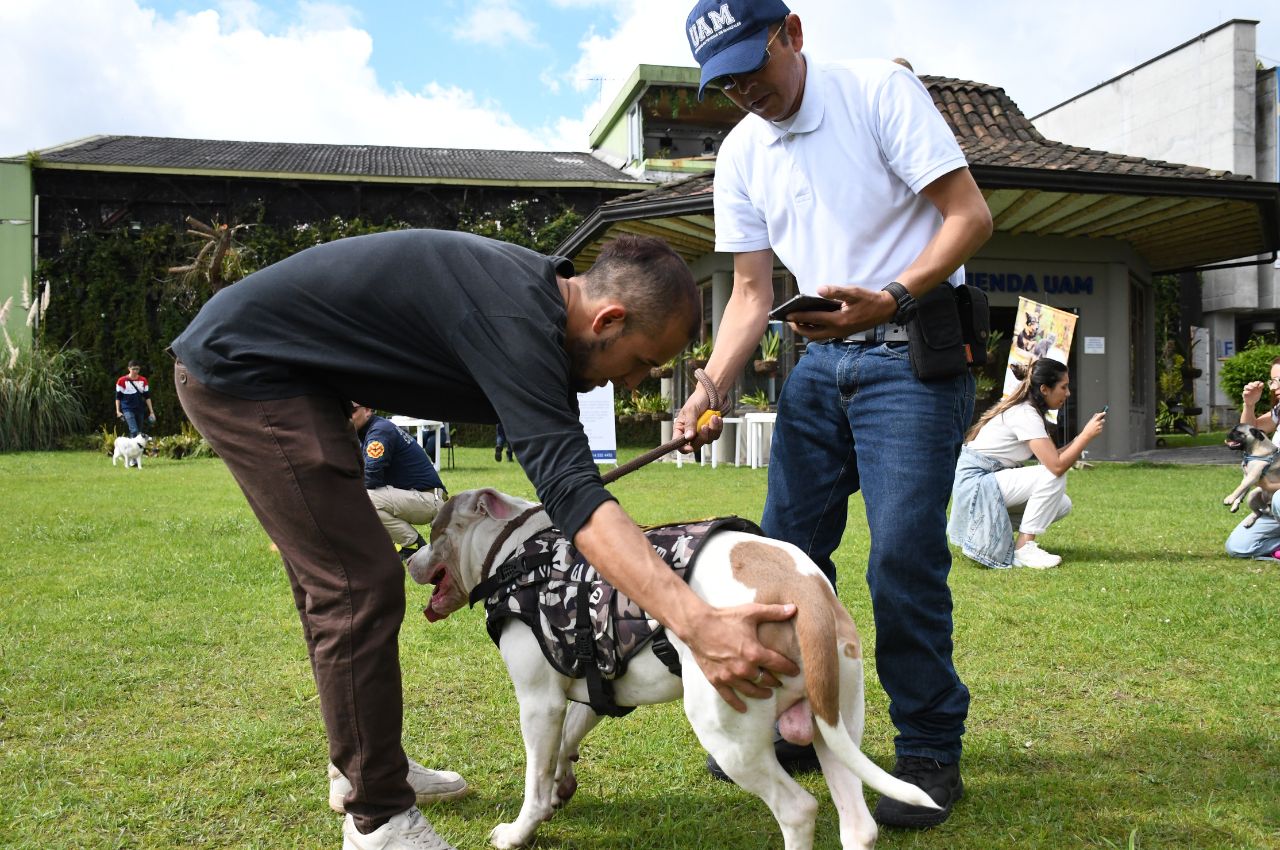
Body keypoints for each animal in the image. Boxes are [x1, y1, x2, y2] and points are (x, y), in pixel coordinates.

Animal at [412, 489, 942, 844]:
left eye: (436, 532)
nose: (409, 555)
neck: (517, 555)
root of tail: (804, 590)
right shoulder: (592, 689)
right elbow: (567, 742)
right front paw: (563, 784)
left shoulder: (538, 702)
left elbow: (535, 777)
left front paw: (520, 830)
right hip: (835, 721)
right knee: (858, 825)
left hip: (728, 733)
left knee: (798, 809)